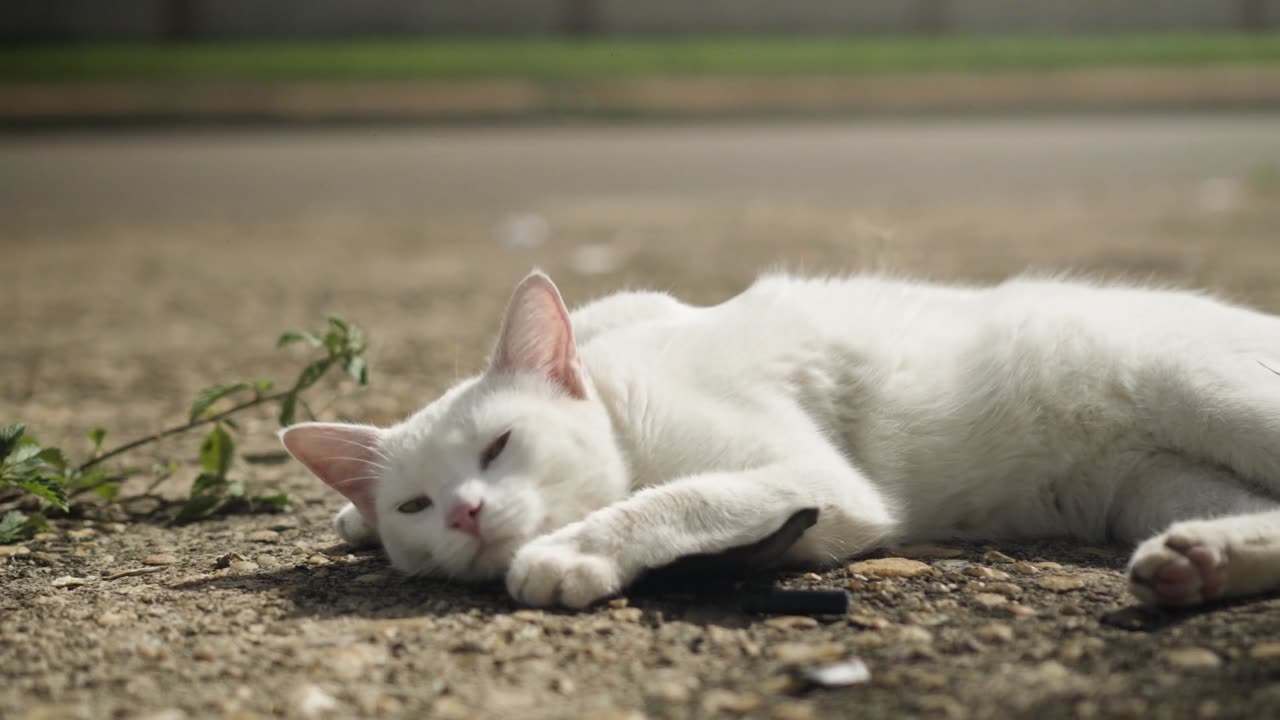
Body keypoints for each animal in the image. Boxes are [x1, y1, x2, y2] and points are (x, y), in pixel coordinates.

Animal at [282, 269, 1280, 604]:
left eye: (497, 446)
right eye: (417, 502)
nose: (464, 514)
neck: (621, 403)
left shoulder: (821, 486)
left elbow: (677, 499)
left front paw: (570, 553)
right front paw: (355, 518)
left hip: (1210, 395)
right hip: (1154, 482)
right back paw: (1199, 562)